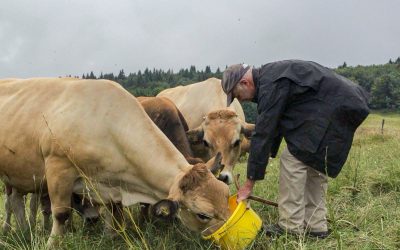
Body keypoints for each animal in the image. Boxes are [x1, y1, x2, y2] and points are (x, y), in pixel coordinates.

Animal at [0, 78, 230, 248]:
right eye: (202, 215)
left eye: (227, 195)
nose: (231, 234)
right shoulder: (59, 168)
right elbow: (61, 214)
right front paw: (53, 243)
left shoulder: (110, 183)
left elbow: (111, 211)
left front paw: (109, 236)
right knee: (13, 203)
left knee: (15, 202)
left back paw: (24, 231)